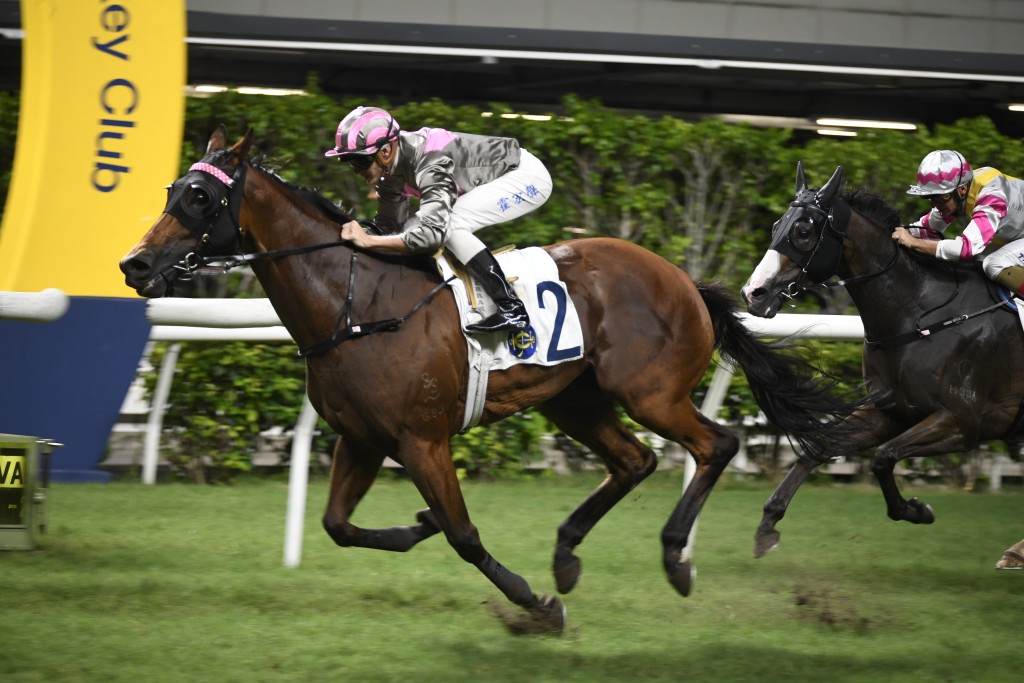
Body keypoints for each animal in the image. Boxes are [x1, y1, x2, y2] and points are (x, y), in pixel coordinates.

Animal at [121, 129, 864, 634]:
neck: (355, 303)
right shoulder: (361, 439)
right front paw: (418, 526)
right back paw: (567, 554)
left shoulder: (421, 440)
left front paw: (535, 605)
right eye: (169, 191)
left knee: (717, 444)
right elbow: (338, 525)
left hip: (649, 390)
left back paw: (676, 560)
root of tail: (684, 279)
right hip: (575, 398)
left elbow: (465, 535)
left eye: (200, 196)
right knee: (635, 460)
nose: (135, 264)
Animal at [741, 163, 1024, 561]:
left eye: (803, 232)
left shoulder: (963, 421)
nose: (753, 293)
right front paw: (768, 523)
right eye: (776, 225)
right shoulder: (889, 412)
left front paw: (916, 510)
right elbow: (820, 446)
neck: (917, 314)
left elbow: (882, 457)